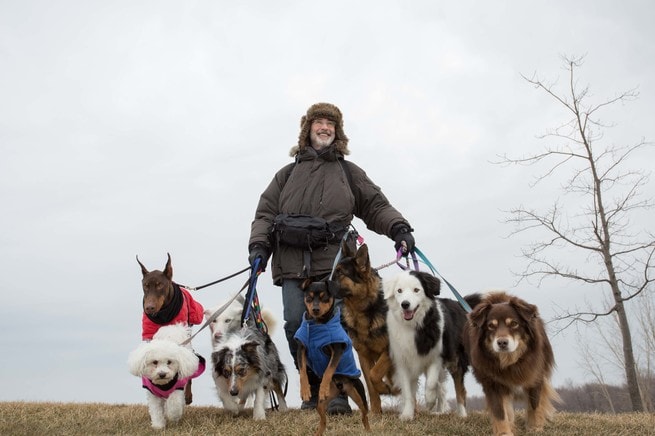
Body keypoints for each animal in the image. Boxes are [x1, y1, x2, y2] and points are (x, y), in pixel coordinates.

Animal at [296, 280, 372, 436]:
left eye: (325, 297)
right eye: (309, 297)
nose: (316, 309)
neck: (317, 324)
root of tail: (341, 389)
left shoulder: (337, 350)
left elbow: (328, 370)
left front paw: (323, 387)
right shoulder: (301, 348)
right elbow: (303, 371)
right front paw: (305, 390)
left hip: (359, 393)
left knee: (364, 415)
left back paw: (368, 430)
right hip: (321, 403)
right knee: (323, 418)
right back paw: (318, 432)